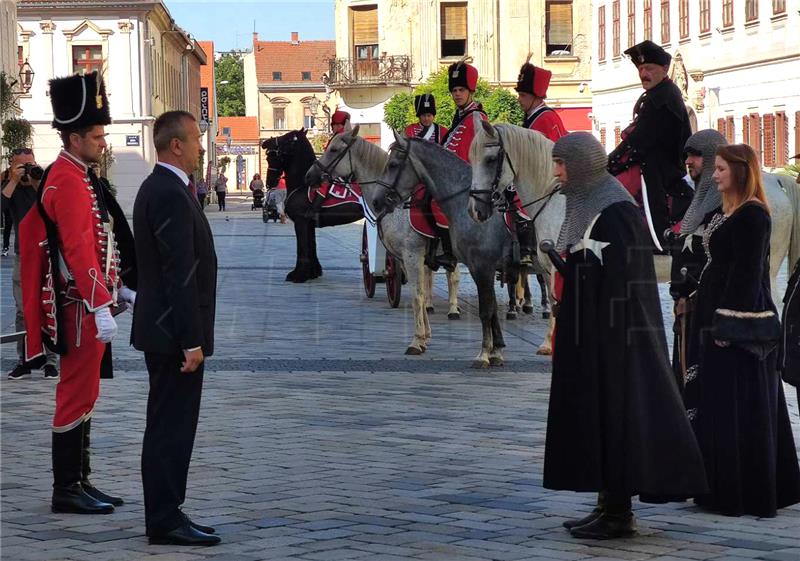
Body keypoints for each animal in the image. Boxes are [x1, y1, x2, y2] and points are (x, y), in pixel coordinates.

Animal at [262, 129, 362, 282]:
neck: (303, 184)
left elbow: (302, 247)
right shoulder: (309, 224)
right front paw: (313, 272)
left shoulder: (301, 221)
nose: (265, 143)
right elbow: (311, 246)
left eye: (287, 138)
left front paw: (299, 274)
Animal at [302, 126, 462, 354]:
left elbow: (417, 295)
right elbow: (420, 293)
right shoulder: (408, 259)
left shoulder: (412, 256)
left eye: (333, 149)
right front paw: (425, 337)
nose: (309, 176)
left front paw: (417, 341)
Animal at [374, 127, 520, 368]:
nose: (377, 200)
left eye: (393, 164)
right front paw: (496, 350)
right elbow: (488, 308)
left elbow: (484, 309)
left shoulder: (416, 255)